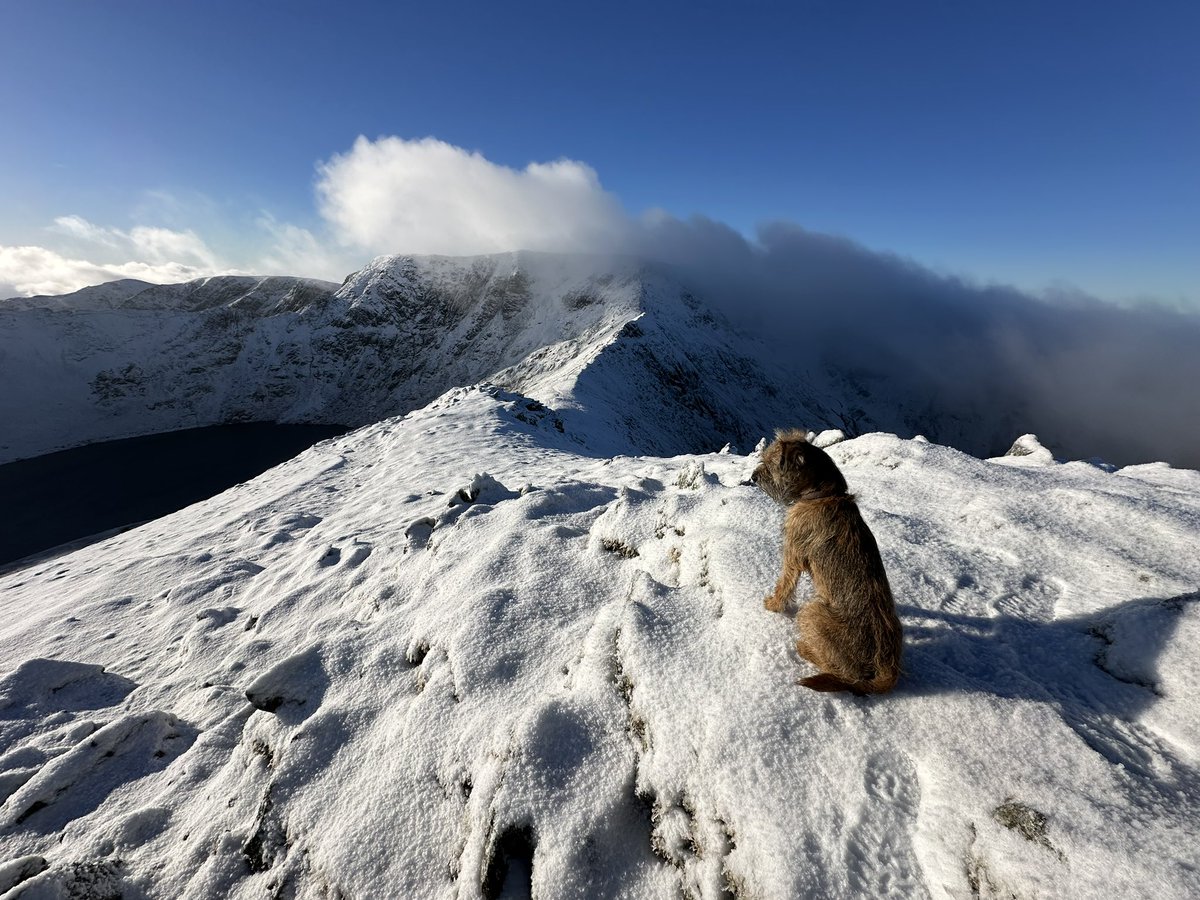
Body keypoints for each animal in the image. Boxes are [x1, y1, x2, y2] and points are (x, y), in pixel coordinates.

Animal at [748, 432, 902, 696]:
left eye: (771, 463)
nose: (753, 476)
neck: (822, 494)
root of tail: (886, 667)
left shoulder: (792, 553)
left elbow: (784, 584)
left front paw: (774, 605)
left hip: (812, 611)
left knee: (841, 673)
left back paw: (806, 649)